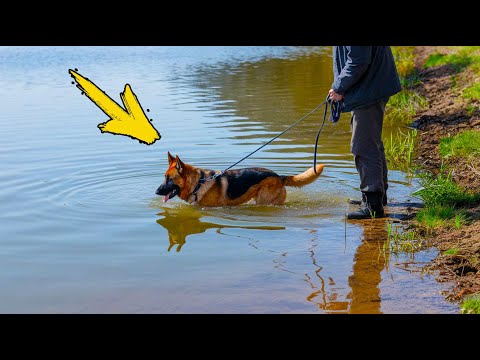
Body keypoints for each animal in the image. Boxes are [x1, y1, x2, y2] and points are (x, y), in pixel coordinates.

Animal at [156, 152, 324, 207]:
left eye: (170, 179)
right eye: (164, 178)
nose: (156, 191)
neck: (198, 183)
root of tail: (279, 176)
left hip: (264, 201)